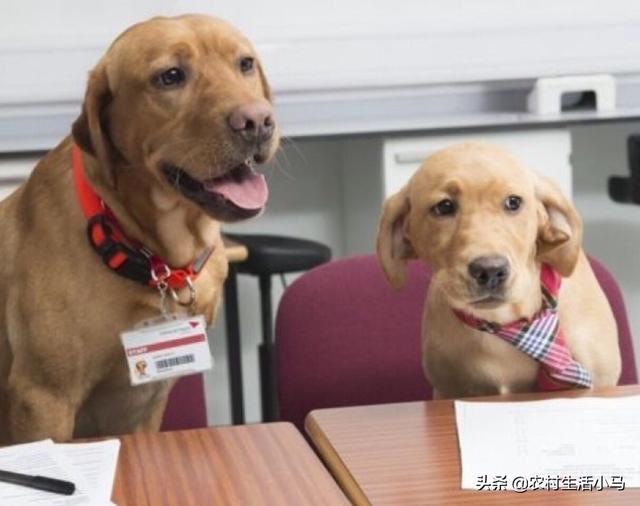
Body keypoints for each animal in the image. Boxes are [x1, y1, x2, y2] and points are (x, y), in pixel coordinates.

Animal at [378, 142, 624, 400]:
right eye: (444, 207)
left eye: (513, 202)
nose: (490, 271)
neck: (511, 320)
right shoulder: (449, 389)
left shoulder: (602, 378)